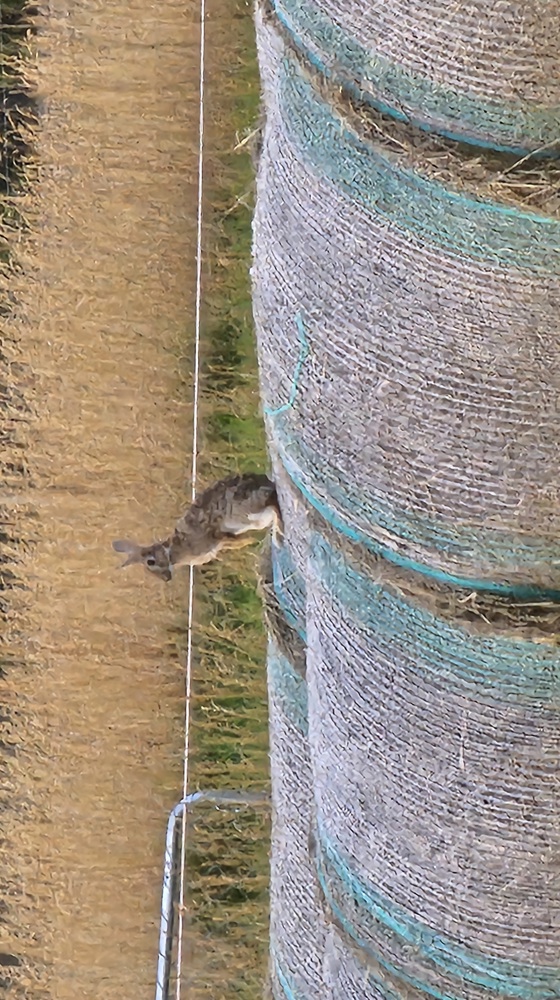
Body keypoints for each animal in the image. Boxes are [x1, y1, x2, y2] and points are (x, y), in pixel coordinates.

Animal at [112, 472, 283, 583]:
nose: (167, 579)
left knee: (273, 506)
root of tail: (260, 482)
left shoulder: (213, 538)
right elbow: (237, 542)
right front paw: (250, 542)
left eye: (150, 562)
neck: (171, 551)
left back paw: (279, 537)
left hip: (243, 512)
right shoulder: (220, 543)